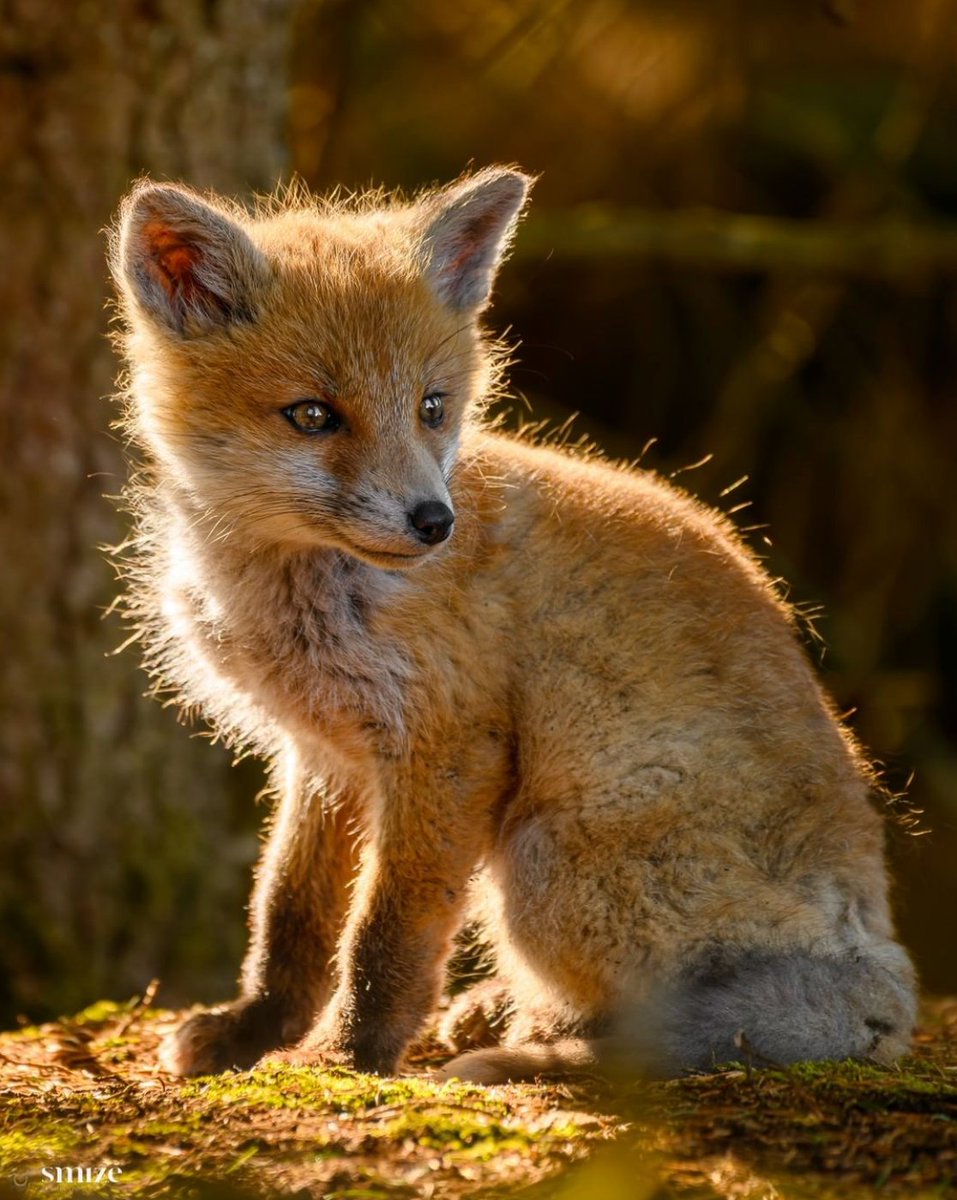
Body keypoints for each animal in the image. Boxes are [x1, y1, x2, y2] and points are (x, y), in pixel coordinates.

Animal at [108, 166, 917, 1084]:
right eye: (312, 415)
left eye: (431, 407)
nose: (434, 522)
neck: (297, 596)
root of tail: (883, 993)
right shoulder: (325, 755)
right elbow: (290, 917)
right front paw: (255, 1031)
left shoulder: (450, 747)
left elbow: (386, 934)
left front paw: (348, 1058)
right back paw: (503, 1013)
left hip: (541, 857)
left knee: (673, 1027)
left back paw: (543, 1046)